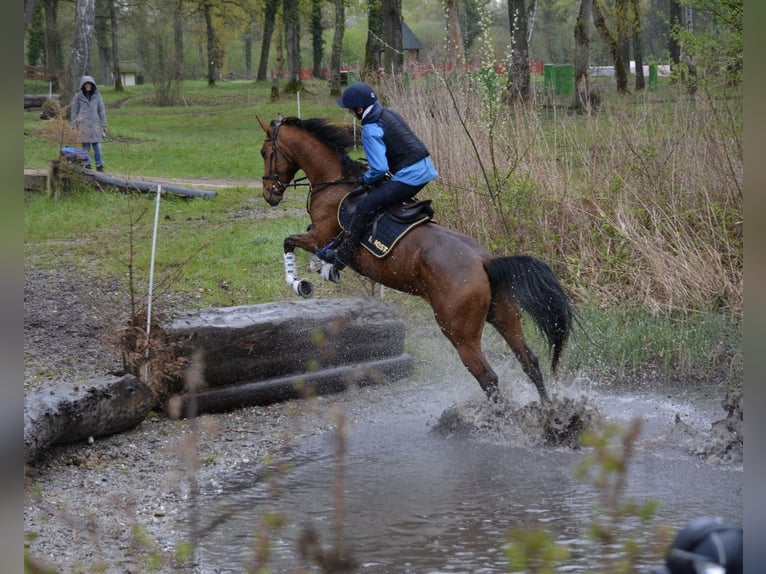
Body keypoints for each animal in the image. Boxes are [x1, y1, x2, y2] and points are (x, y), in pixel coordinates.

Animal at [257, 116, 575, 404]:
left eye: (264, 152)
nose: (269, 194)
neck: (334, 183)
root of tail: (486, 263)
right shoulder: (318, 236)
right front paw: (319, 269)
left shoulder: (321, 235)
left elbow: (290, 241)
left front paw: (300, 282)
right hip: (504, 313)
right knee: (529, 361)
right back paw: (548, 413)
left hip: (459, 332)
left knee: (488, 377)